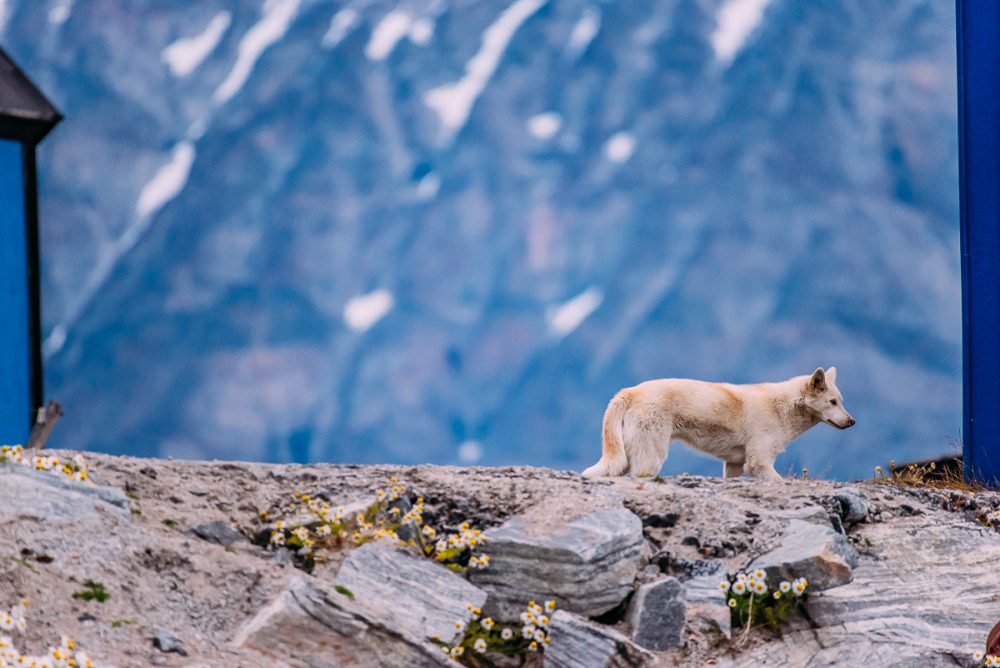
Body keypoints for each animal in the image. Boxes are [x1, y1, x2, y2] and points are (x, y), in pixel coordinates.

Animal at [584, 366, 856, 480]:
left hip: (627, 454)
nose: (852, 421)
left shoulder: (734, 463)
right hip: (650, 453)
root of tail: (630, 391)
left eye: (841, 401)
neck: (783, 407)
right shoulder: (759, 460)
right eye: (832, 402)